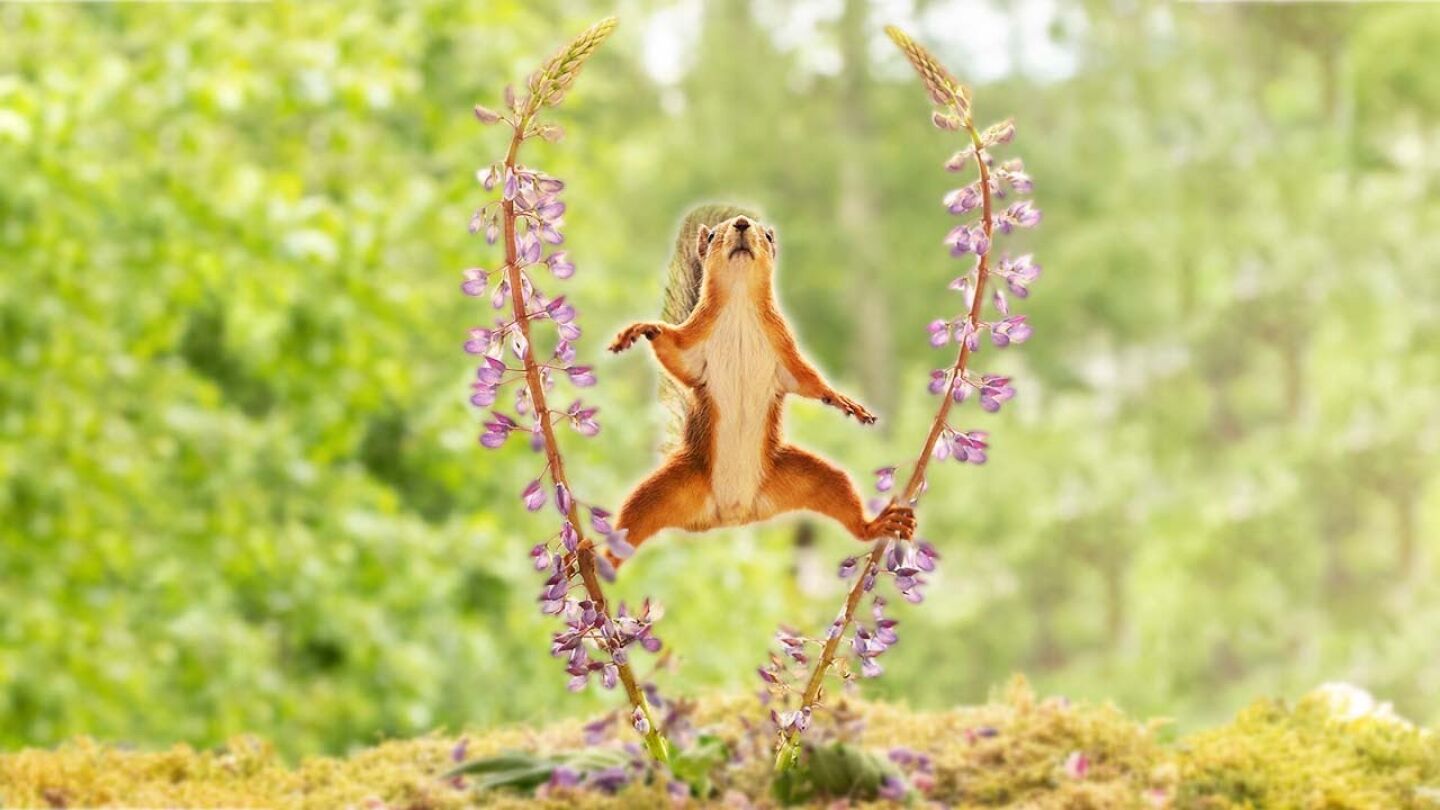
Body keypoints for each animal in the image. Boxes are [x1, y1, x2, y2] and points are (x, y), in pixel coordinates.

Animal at [606, 204, 916, 567]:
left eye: (767, 235)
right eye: (713, 235)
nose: (742, 224)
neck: (740, 301)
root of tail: (732, 515)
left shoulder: (785, 350)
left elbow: (809, 380)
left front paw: (842, 400)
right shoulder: (693, 345)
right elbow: (675, 355)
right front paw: (643, 328)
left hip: (808, 477)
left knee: (841, 497)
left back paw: (880, 524)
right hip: (665, 490)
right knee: (631, 522)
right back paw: (594, 561)